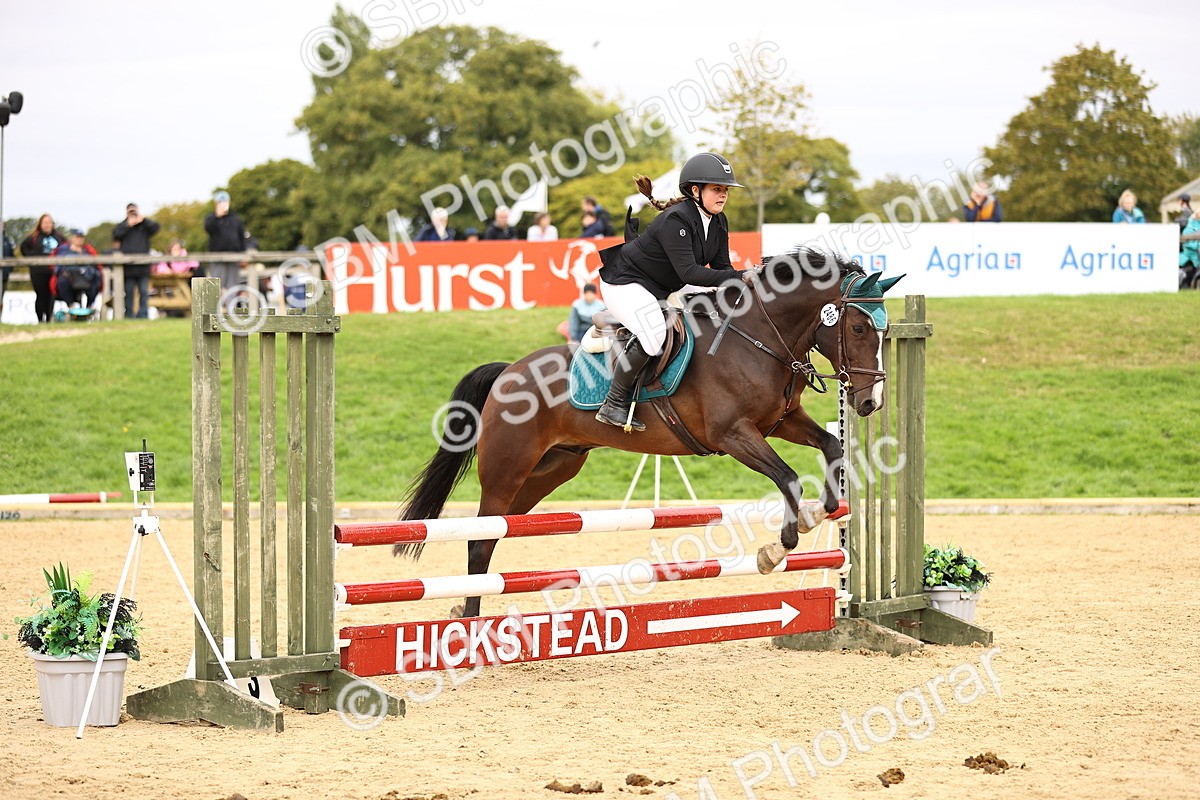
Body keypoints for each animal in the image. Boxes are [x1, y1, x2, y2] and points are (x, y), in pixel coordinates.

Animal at [397, 248, 903, 617]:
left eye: (886, 332)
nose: (869, 403)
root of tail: (508, 372)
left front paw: (822, 511)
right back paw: (468, 619)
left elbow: (831, 445)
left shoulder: (781, 422)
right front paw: (778, 547)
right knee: (481, 538)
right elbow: (788, 478)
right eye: (859, 327)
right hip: (507, 468)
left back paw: (467, 609)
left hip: (551, 470)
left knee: (494, 531)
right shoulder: (734, 435)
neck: (758, 337)